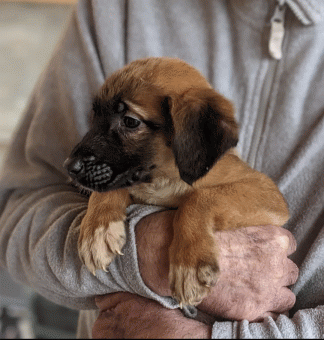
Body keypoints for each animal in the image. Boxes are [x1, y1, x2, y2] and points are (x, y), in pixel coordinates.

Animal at [63, 57, 288, 306]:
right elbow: (109, 188)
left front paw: (190, 263)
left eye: (130, 121)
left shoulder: (266, 192)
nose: (69, 167)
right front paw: (96, 229)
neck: (165, 178)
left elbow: (200, 198)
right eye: (95, 115)